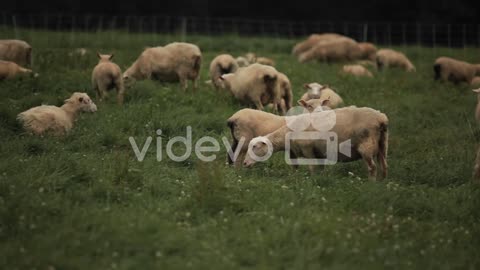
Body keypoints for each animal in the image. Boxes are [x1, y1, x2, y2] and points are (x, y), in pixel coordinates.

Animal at [244, 105, 390, 179]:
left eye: (255, 146)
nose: (245, 163)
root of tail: (381, 119)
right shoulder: (304, 152)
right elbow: (297, 167)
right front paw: (294, 178)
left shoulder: (308, 149)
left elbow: (312, 168)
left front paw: (312, 181)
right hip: (382, 144)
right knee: (384, 165)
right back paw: (382, 183)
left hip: (367, 145)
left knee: (372, 167)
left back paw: (371, 183)